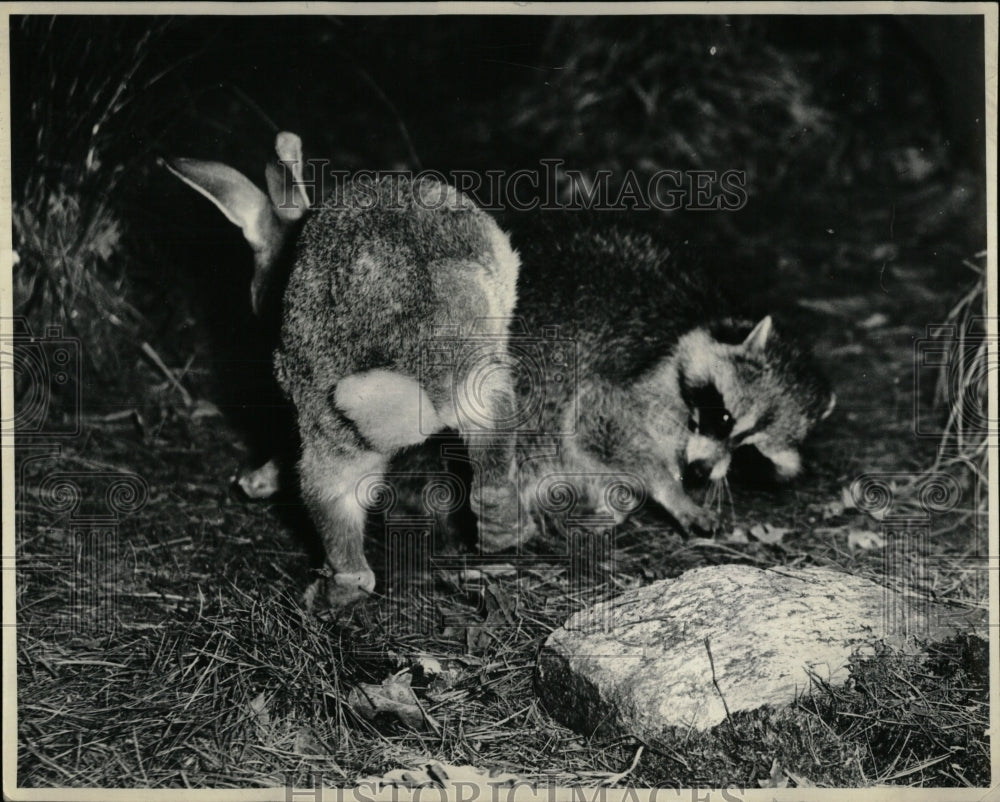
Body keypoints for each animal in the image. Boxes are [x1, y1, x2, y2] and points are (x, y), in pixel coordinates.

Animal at [166, 131, 524, 608]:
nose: (256, 297)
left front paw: (255, 482)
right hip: (483, 383)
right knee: (492, 480)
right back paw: (500, 532)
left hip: (333, 423)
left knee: (339, 520)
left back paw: (326, 593)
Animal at [504, 212, 832, 536]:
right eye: (725, 418)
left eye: (750, 451)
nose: (700, 470)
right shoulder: (640, 380)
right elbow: (594, 419)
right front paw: (670, 489)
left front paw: (620, 502)